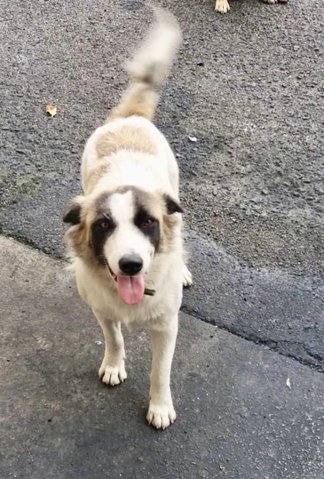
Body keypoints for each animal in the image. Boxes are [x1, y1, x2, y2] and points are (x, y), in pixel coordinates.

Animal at [62, 8, 192, 432]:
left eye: (147, 222)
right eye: (103, 225)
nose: (131, 264)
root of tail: (129, 117)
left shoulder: (167, 326)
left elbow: (160, 371)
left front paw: (160, 406)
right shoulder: (102, 310)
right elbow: (115, 338)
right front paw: (114, 365)